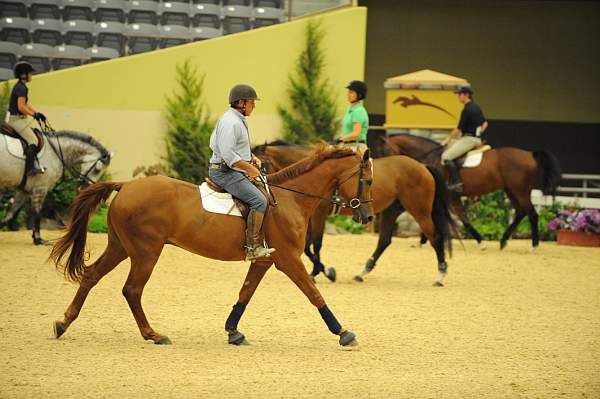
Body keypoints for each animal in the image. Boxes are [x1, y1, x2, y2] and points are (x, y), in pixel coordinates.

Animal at [49, 146, 372, 346]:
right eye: (367, 180)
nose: (368, 217)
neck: (289, 199)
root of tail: (126, 185)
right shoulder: (289, 259)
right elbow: (314, 294)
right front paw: (343, 332)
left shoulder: (264, 260)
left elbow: (245, 293)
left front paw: (233, 332)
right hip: (145, 252)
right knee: (132, 290)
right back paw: (153, 335)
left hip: (120, 247)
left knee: (91, 275)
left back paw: (63, 323)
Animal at [253, 144, 454, 288]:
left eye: (262, 164)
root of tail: (422, 165)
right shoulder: (310, 216)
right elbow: (309, 247)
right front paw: (324, 271)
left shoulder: (318, 215)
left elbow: (315, 245)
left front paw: (322, 272)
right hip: (392, 211)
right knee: (384, 241)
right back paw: (362, 273)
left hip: (420, 211)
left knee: (435, 238)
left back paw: (441, 276)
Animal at [376, 134, 564, 250]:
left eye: (384, 151)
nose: (381, 172)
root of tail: (530, 154)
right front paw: (423, 240)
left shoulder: (451, 196)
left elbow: (463, 219)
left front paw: (481, 242)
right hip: (511, 190)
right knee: (520, 212)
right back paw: (503, 241)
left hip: (520, 191)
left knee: (531, 213)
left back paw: (533, 245)